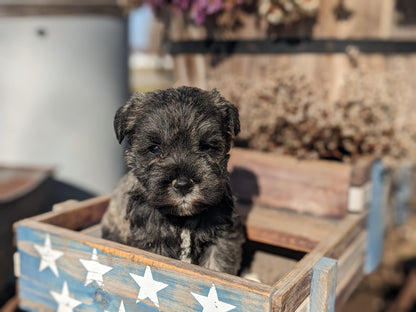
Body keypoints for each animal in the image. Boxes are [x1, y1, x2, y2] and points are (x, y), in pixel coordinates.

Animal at [101, 86, 244, 274]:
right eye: (155, 148)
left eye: (206, 146)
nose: (183, 184)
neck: (182, 218)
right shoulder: (153, 243)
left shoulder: (220, 240)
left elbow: (217, 268)